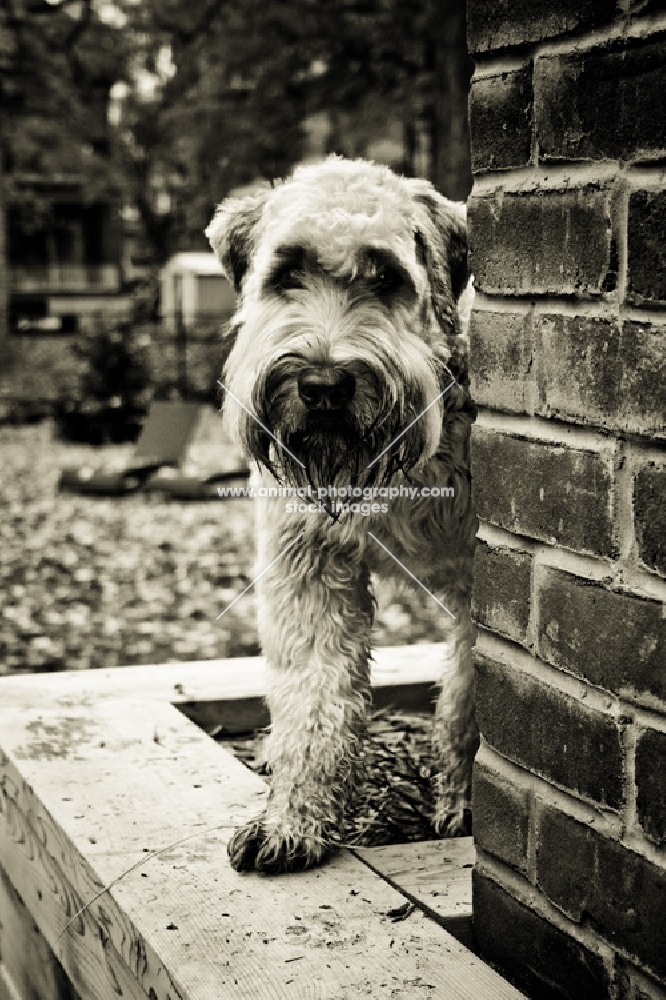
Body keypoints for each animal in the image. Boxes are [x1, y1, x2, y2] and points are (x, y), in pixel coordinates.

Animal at [205, 158, 474, 876]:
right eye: (286, 272)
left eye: (386, 276)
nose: (323, 386)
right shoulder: (308, 565)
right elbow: (313, 697)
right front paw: (292, 819)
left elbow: (469, 696)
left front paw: (466, 801)